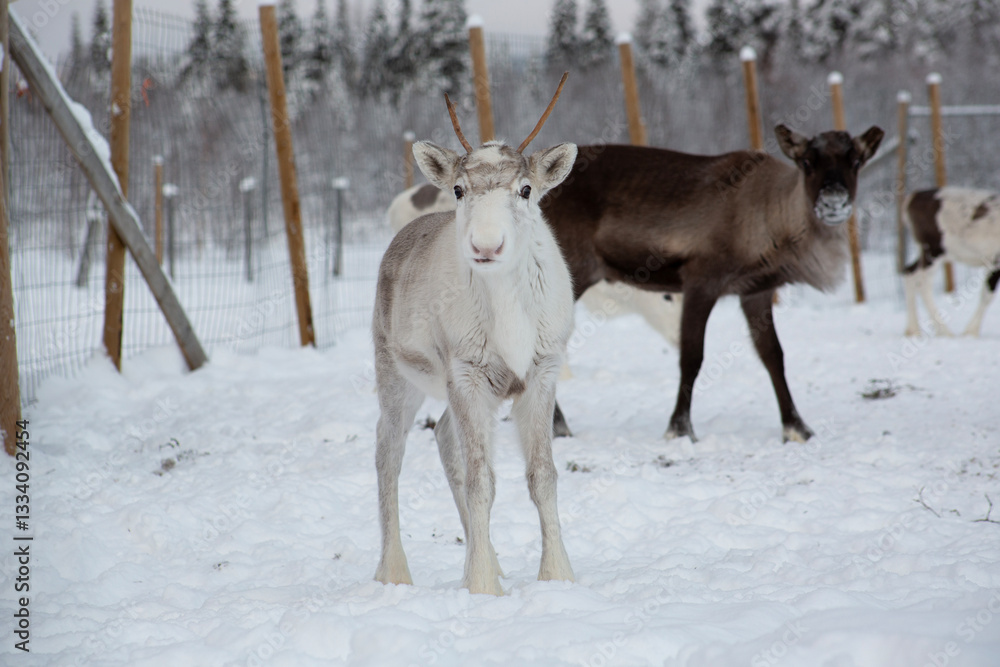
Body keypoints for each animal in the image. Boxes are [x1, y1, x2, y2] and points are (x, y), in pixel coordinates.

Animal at [373, 76, 578, 596]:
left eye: (525, 189)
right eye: (459, 189)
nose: (486, 245)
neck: (508, 316)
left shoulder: (541, 371)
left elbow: (542, 476)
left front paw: (557, 575)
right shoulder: (466, 372)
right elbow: (480, 480)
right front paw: (482, 584)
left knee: (444, 436)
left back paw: (493, 560)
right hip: (397, 375)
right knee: (388, 451)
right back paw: (393, 572)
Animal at [537, 124, 884, 443]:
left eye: (856, 160)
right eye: (808, 161)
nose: (834, 202)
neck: (772, 219)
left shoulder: (756, 291)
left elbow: (773, 356)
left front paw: (796, 427)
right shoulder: (701, 281)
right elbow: (692, 357)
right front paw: (680, 428)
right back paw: (558, 425)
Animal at [903, 186, 1000, 337]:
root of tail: (912, 197)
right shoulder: (995, 259)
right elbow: (987, 295)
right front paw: (970, 332)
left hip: (927, 250)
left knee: (909, 272)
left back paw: (912, 330)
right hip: (934, 248)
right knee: (923, 283)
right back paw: (944, 331)